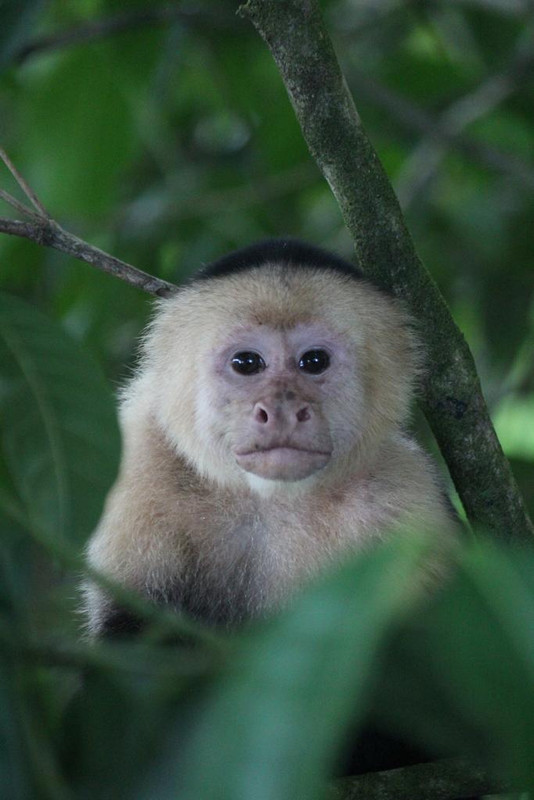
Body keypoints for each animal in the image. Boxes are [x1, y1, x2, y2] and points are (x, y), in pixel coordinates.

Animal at [82, 236, 456, 636]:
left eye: (314, 361)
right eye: (247, 363)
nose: (282, 410)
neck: (272, 500)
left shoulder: (406, 493)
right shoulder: (139, 464)